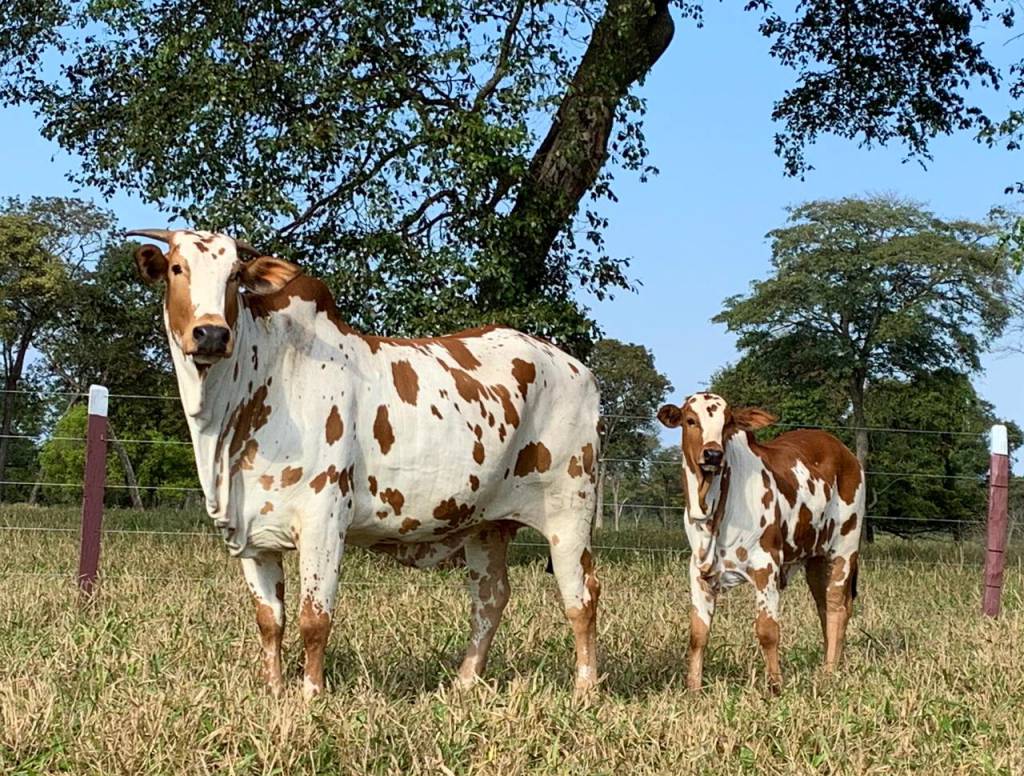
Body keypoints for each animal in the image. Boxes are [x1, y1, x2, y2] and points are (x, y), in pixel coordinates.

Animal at [132, 229, 602, 700]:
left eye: (233, 275)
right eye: (177, 268)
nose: (211, 333)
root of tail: (579, 369)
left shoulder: (323, 522)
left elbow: (314, 619)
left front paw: (311, 694)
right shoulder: (253, 536)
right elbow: (270, 622)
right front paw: (275, 691)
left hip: (569, 512)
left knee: (581, 598)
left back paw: (585, 688)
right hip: (487, 524)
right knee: (490, 597)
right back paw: (465, 681)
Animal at [655, 395, 864, 692]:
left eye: (727, 423)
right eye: (690, 420)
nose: (713, 455)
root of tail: (843, 451)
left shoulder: (767, 565)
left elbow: (767, 630)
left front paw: (775, 686)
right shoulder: (697, 571)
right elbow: (698, 634)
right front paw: (693, 688)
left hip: (845, 548)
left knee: (837, 607)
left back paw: (829, 672)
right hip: (815, 557)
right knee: (824, 607)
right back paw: (828, 664)